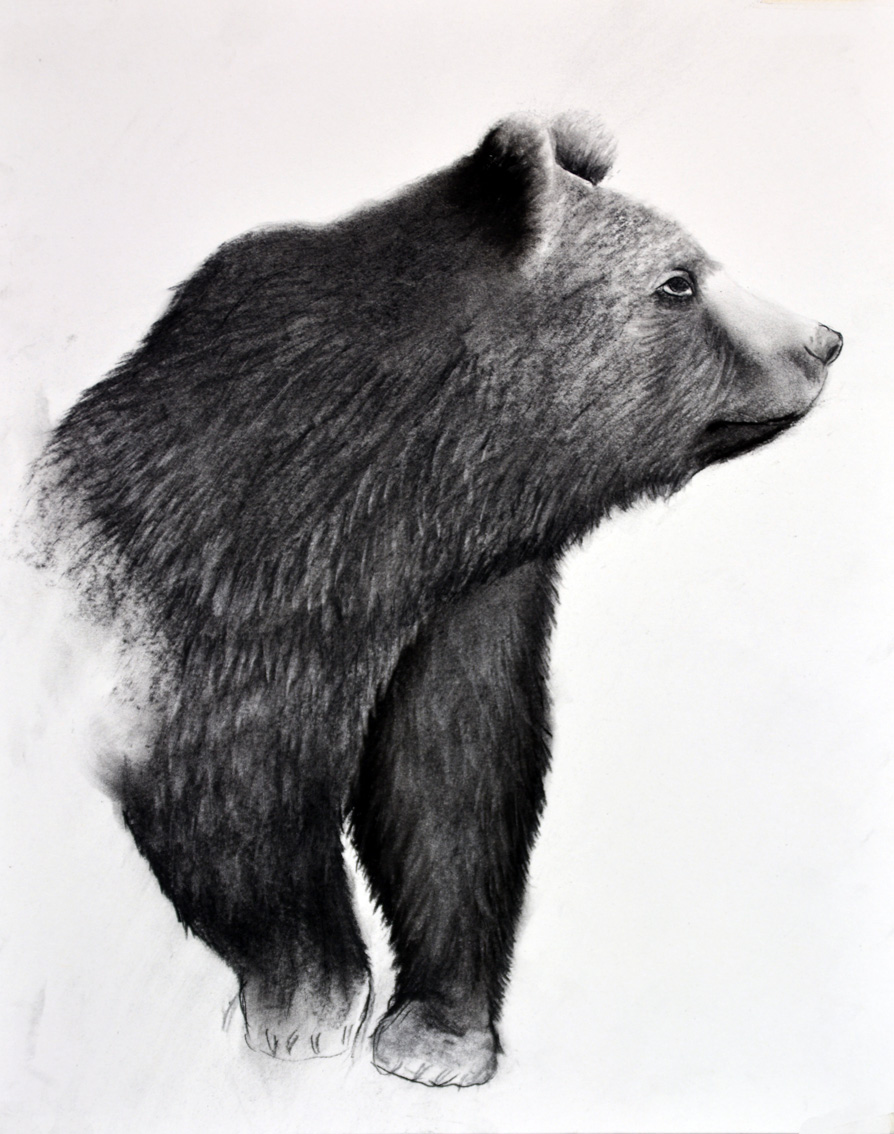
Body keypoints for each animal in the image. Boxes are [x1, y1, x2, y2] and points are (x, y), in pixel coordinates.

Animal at [36, 113, 842, 1088]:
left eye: (695, 263)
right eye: (678, 281)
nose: (824, 340)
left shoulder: (463, 601)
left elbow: (454, 777)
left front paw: (438, 1034)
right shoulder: (222, 567)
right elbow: (228, 773)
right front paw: (312, 998)